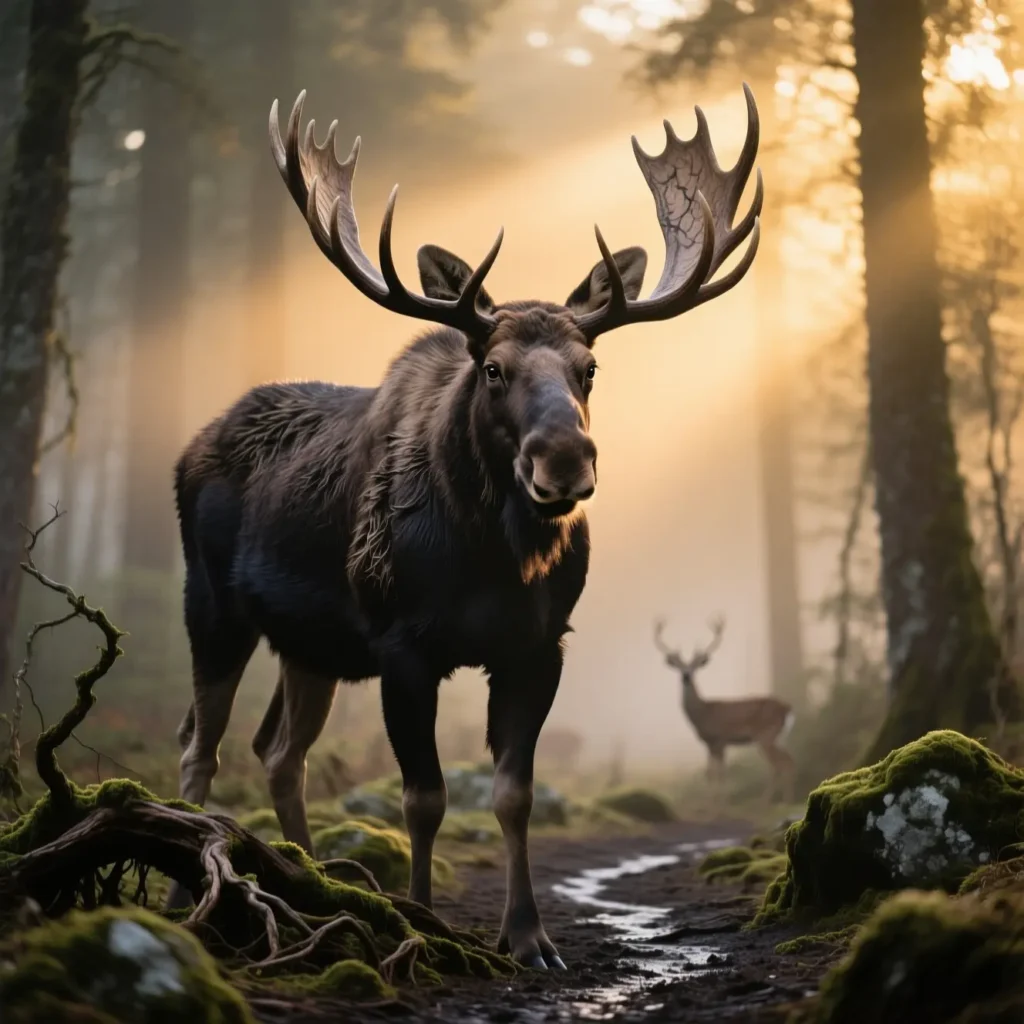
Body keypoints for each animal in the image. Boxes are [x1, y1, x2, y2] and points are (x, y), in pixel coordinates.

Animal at [163, 84, 763, 971]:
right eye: (493, 368)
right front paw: (421, 919)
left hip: (311, 646)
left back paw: (304, 876)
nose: (565, 461)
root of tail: (191, 445)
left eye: (589, 368)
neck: (492, 564)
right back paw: (187, 902)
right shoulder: (401, 645)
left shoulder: (540, 645)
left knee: (279, 753)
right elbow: (425, 797)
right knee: (198, 748)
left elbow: (513, 794)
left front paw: (531, 937)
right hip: (212, 606)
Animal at [654, 617, 795, 801]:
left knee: (779, 764)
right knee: (788, 760)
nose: (686, 676)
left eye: (695, 666)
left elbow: (721, 773)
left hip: (766, 733)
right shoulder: (709, 743)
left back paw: (772, 800)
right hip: (777, 736)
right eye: (679, 666)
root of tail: (787, 707)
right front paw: (710, 801)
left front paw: (721, 801)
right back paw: (782, 798)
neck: (703, 713)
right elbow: (709, 773)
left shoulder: (721, 738)